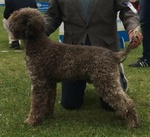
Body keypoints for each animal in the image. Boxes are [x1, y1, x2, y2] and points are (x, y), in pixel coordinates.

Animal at [8, 8, 138, 129]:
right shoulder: (49, 83)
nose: (9, 21)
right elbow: (48, 101)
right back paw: (123, 116)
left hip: (106, 83)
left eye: (17, 17)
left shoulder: (39, 82)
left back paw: (132, 124)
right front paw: (46, 116)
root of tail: (113, 54)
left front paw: (32, 121)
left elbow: (36, 103)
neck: (39, 44)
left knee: (127, 102)